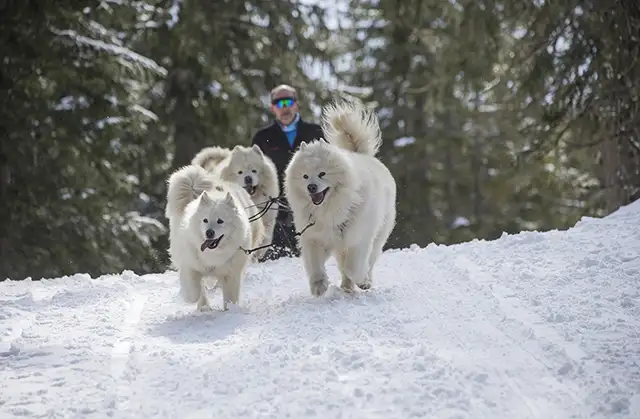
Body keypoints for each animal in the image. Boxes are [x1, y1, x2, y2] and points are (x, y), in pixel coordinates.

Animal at [168, 166, 264, 314]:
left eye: (220, 221)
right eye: (205, 220)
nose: (209, 232)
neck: (213, 254)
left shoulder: (231, 274)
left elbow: (230, 296)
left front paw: (230, 311)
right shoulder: (190, 266)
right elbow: (194, 290)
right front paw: (192, 299)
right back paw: (204, 307)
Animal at [284, 97, 396, 298]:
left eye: (322, 174)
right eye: (305, 176)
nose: (311, 187)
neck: (331, 209)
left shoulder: (358, 238)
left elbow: (353, 267)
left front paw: (362, 281)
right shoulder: (314, 236)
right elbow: (315, 264)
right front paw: (319, 286)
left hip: (378, 234)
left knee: (368, 260)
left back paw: (360, 282)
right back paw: (346, 287)